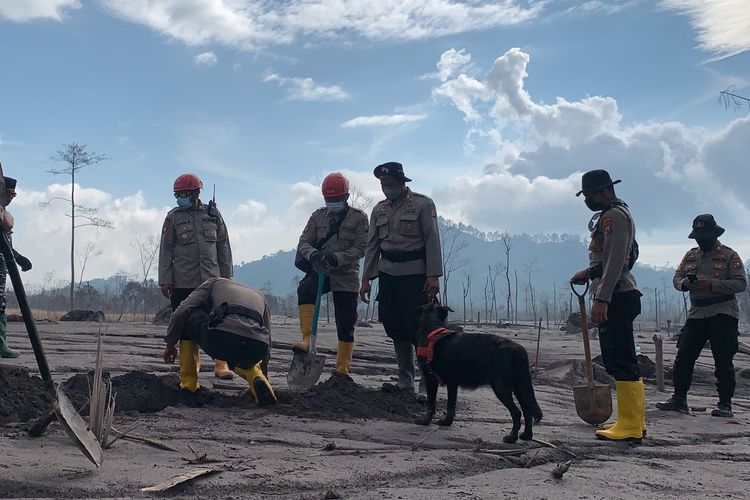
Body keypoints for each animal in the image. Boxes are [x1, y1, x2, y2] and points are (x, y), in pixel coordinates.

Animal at [414, 302, 544, 444]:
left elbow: (431, 404)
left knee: (517, 412)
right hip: (519, 387)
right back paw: (527, 435)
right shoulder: (452, 384)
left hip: (501, 387)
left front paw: (425, 421)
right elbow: (451, 405)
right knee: (527, 410)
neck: (432, 329)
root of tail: (516, 349)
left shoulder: (430, 379)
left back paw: (511, 437)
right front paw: (447, 422)